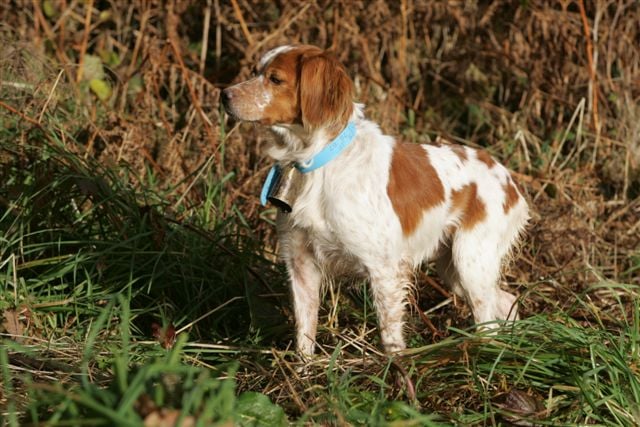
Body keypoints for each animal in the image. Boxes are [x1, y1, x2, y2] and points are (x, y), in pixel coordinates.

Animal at [222, 45, 529, 356]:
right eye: (255, 71)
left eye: (275, 79)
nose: (224, 94)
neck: (316, 160)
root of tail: (506, 176)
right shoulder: (301, 264)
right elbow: (304, 336)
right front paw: (304, 369)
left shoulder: (384, 268)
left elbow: (390, 335)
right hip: (453, 268)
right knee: (505, 301)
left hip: (470, 261)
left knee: (487, 321)